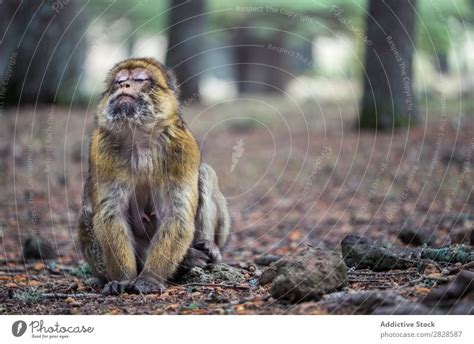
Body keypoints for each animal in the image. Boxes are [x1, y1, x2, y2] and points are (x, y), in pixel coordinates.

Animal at [78, 57, 231, 294]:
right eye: (119, 81)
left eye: (139, 79)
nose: (124, 86)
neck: (139, 135)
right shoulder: (101, 148)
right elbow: (111, 214)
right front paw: (123, 279)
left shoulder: (182, 148)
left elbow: (176, 214)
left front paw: (149, 278)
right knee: (87, 212)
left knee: (205, 173)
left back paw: (206, 248)